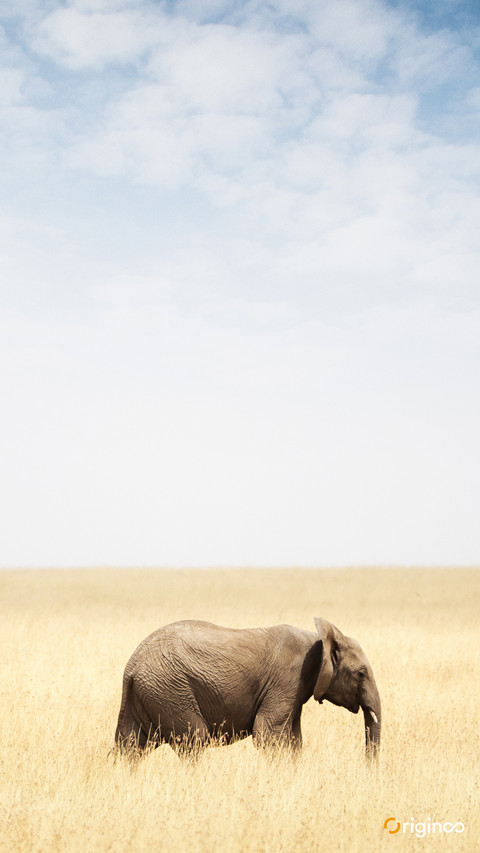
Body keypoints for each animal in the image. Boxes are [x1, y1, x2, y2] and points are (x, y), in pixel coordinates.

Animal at [115, 617, 381, 757]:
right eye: (360, 673)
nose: (368, 768)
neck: (317, 640)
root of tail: (131, 667)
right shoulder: (287, 680)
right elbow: (268, 734)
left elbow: (295, 740)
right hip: (170, 690)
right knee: (195, 740)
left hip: (148, 693)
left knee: (129, 747)